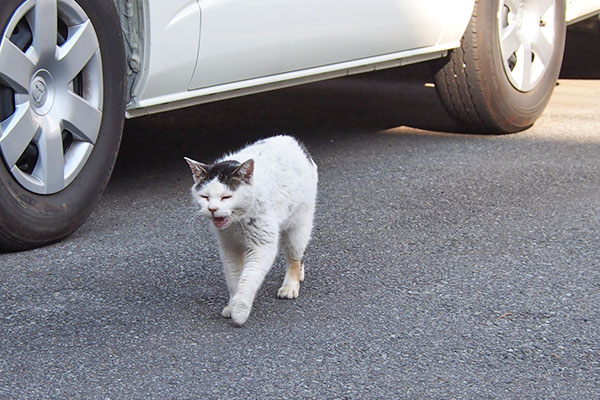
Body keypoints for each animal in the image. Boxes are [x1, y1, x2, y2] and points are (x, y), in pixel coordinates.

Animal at [185, 135, 318, 324]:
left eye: (226, 197)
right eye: (205, 197)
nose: (212, 208)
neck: (236, 224)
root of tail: (290, 139)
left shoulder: (262, 247)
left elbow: (248, 278)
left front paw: (240, 311)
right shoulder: (229, 248)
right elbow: (234, 279)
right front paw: (232, 305)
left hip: (299, 226)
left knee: (295, 257)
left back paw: (290, 285)